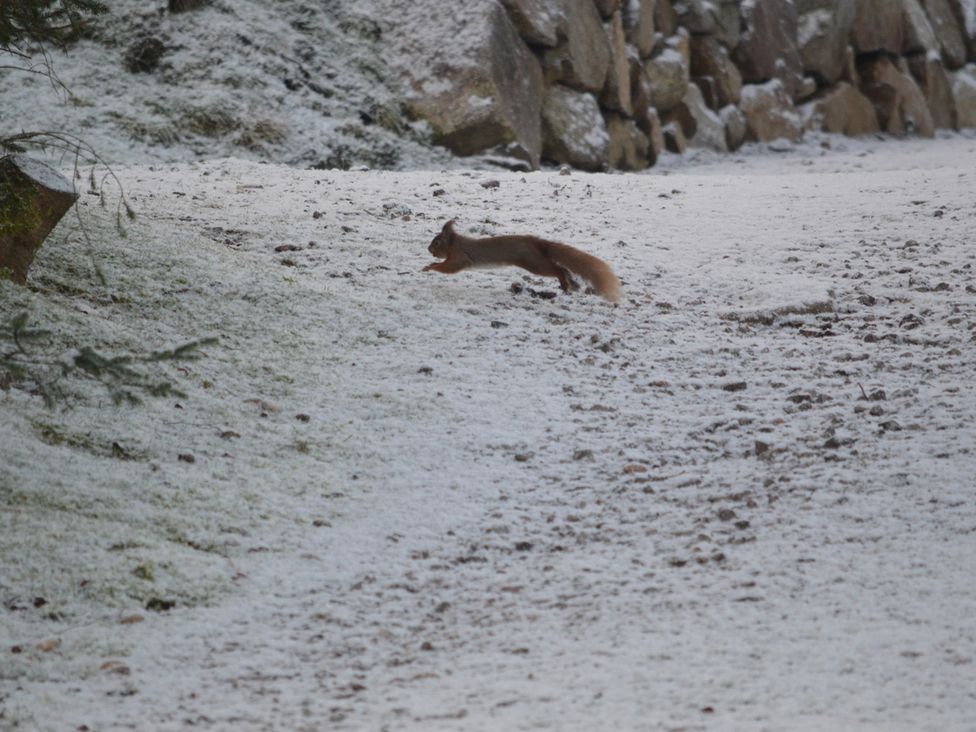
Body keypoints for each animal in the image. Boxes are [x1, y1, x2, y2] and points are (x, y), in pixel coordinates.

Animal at [422, 220, 621, 302]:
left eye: (437, 242)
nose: (429, 250)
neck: (455, 244)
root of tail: (535, 242)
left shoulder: (460, 257)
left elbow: (450, 267)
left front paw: (430, 267)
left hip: (533, 262)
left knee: (556, 269)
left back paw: (565, 283)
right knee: (560, 268)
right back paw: (569, 283)